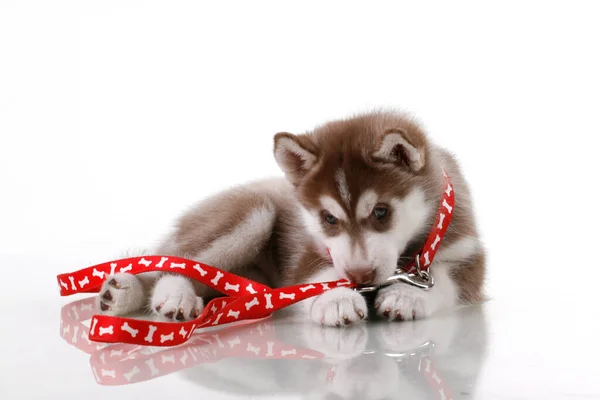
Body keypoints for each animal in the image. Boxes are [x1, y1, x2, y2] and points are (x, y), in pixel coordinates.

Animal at [96, 109, 486, 324]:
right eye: (328, 219)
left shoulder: (467, 252)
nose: (360, 277)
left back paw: (121, 293)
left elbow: (445, 278)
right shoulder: (308, 252)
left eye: (381, 212)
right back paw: (171, 295)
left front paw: (408, 295)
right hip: (253, 212)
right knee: (176, 262)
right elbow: (316, 277)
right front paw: (335, 298)